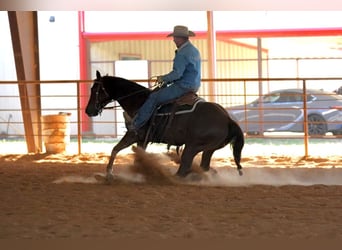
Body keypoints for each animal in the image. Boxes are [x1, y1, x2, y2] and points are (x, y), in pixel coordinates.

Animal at [87, 70, 244, 182]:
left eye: (95, 90)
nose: (88, 111)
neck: (139, 101)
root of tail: (227, 119)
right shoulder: (142, 140)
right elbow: (136, 157)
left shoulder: (133, 134)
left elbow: (115, 149)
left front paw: (109, 174)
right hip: (209, 149)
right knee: (204, 167)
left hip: (193, 146)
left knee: (185, 167)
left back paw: (170, 177)